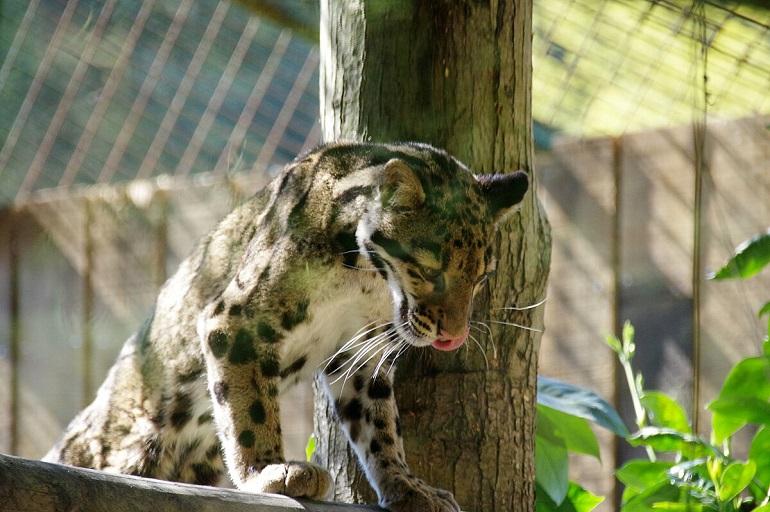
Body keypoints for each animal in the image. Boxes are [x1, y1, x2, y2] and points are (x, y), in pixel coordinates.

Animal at [44, 141, 529, 512]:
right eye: (430, 270)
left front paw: (406, 486)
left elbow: (380, 427)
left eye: (481, 277)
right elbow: (249, 409)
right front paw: (268, 471)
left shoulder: (359, 353)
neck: (366, 277)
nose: (455, 336)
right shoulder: (235, 319)